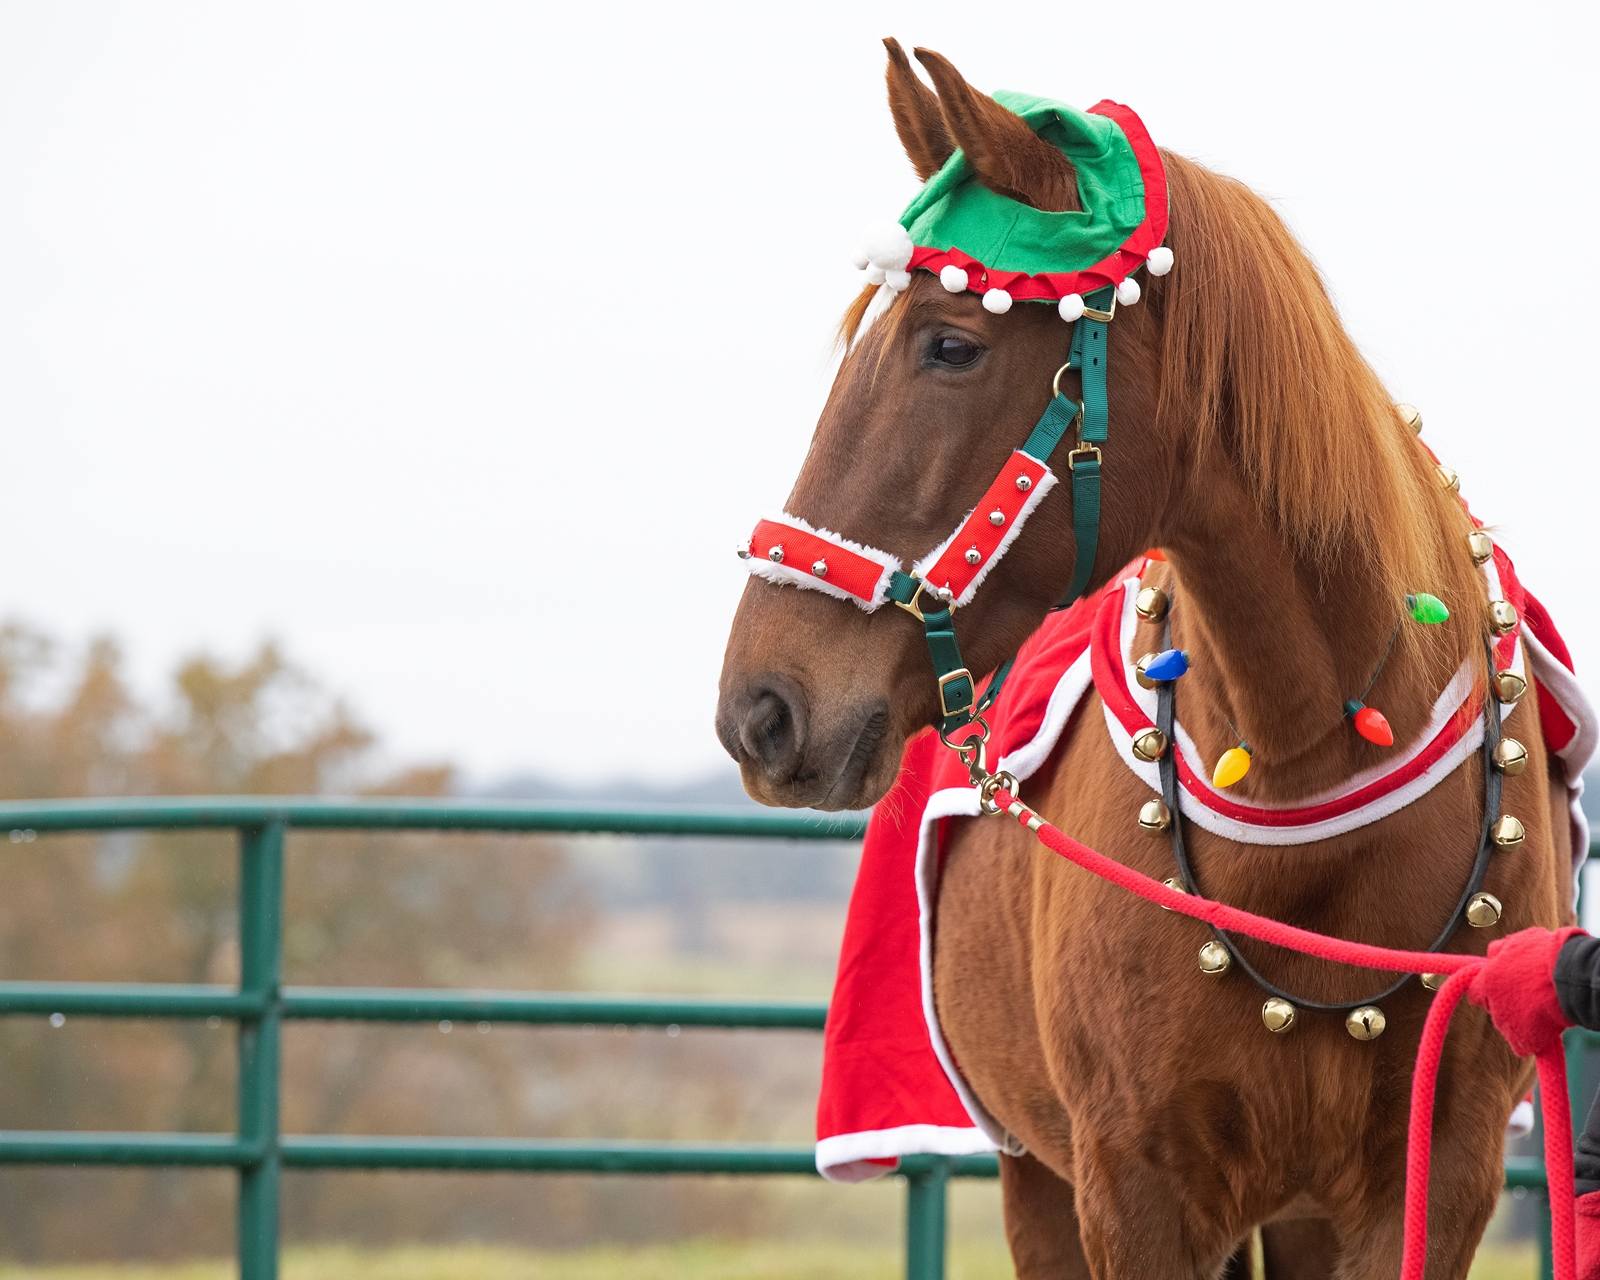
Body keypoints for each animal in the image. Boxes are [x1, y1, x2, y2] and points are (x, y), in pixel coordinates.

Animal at [716, 40, 1574, 1280]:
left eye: (950, 344)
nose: (762, 707)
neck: (1313, 770)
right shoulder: (1132, 1184)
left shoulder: (1433, 1179)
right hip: (1035, 1174)